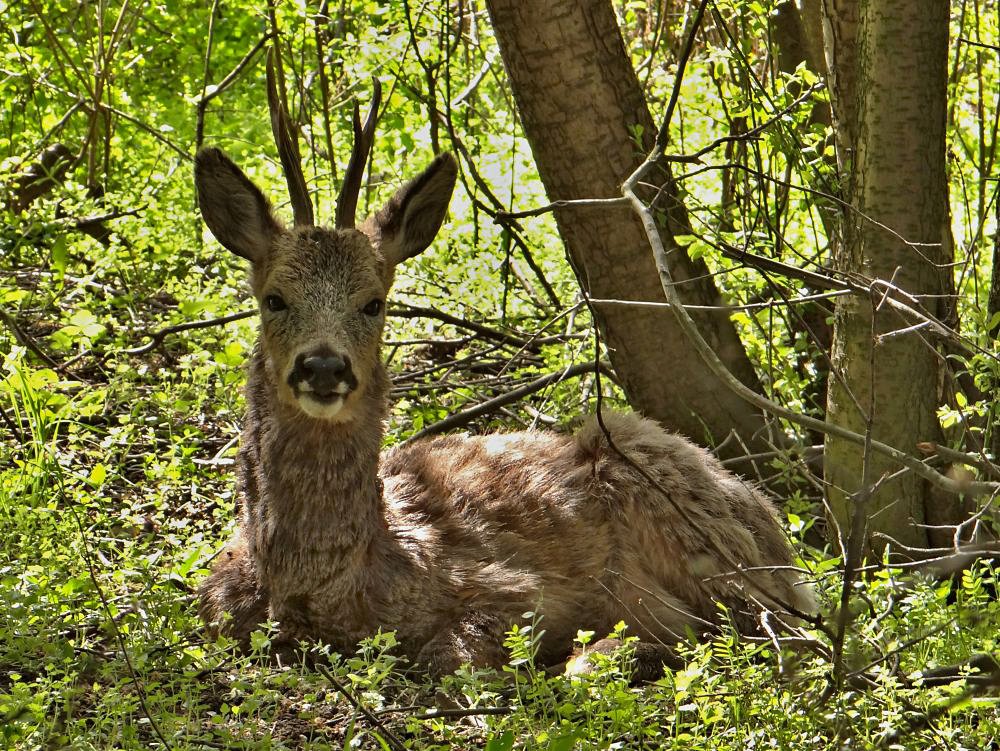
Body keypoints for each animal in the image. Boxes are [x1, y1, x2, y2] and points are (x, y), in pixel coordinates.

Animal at [193, 66, 812, 680]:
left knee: (761, 631)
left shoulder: (517, 592)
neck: (333, 588)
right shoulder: (216, 602)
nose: (323, 366)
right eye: (273, 299)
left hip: (664, 491)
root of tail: (772, 525)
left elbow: (456, 659)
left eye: (374, 303)